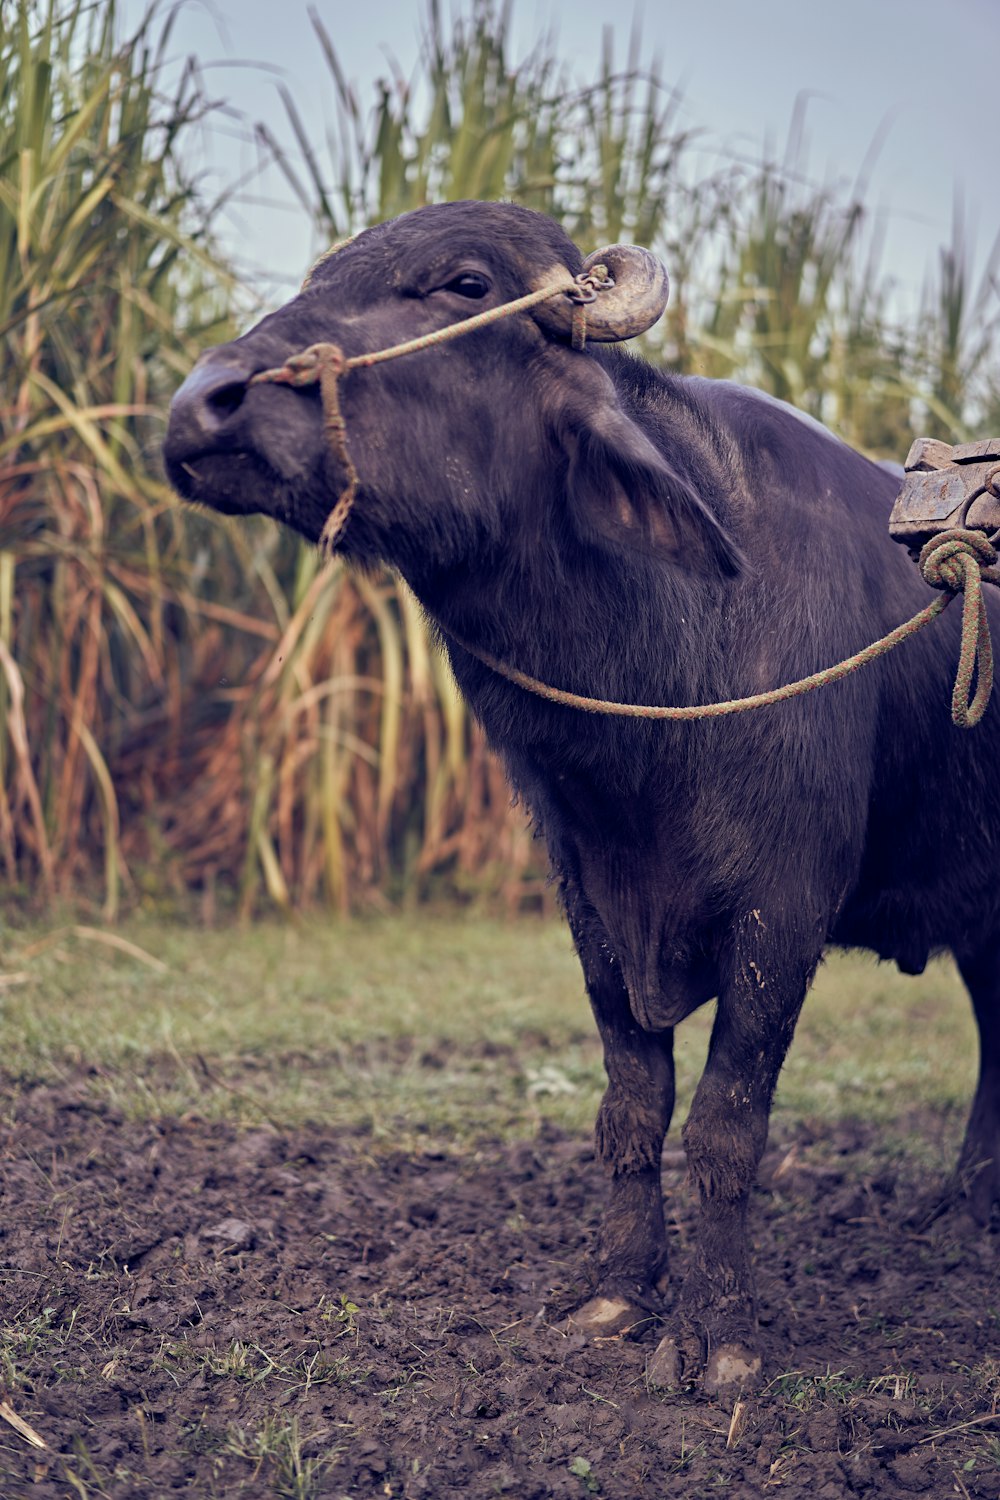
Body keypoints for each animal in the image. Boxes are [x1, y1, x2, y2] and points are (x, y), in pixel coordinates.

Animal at [164, 196, 1000, 1392]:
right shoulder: (589, 890)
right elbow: (632, 1104)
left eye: (465, 285)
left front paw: (721, 1335)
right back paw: (965, 1206)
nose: (203, 405)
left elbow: (726, 1123)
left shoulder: (785, 907)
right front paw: (615, 1294)